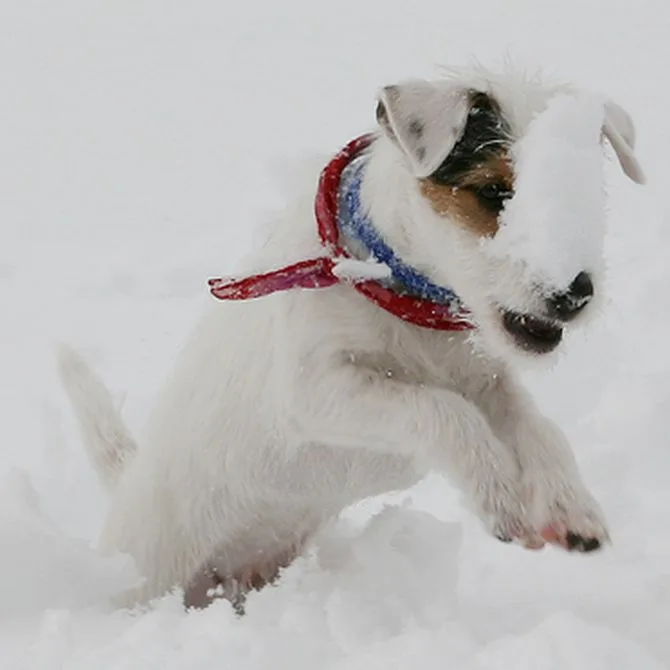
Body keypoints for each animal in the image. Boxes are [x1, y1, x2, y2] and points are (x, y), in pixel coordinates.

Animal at [57, 65, 644, 612]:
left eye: (584, 200)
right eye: (494, 192)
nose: (577, 293)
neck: (401, 293)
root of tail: (127, 483)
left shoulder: (487, 381)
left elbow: (540, 429)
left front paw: (572, 509)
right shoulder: (316, 388)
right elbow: (444, 410)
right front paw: (501, 497)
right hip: (147, 575)